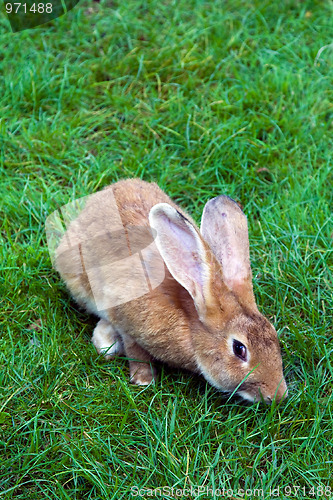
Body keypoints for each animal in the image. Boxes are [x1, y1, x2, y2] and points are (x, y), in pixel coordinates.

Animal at [53, 178, 286, 404]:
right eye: (239, 349)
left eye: (273, 333)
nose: (277, 395)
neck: (190, 319)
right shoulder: (127, 321)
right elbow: (134, 350)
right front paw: (143, 379)